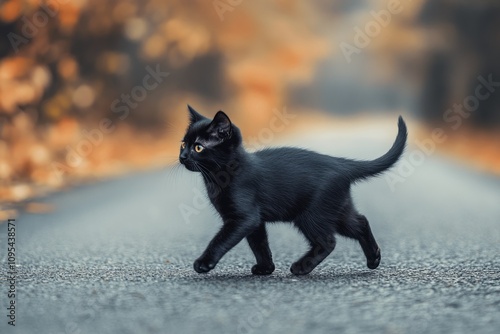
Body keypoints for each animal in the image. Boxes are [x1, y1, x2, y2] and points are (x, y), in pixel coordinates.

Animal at [180, 105, 406, 276]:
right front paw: (266, 268)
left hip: (312, 214)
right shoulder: (255, 221)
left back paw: (301, 267)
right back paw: (374, 258)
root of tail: (339, 163)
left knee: (328, 241)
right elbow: (259, 244)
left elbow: (221, 239)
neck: (218, 178)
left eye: (198, 147)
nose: (182, 156)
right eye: (183, 144)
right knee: (360, 222)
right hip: (337, 209)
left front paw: (204, 263)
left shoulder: (244, 217)